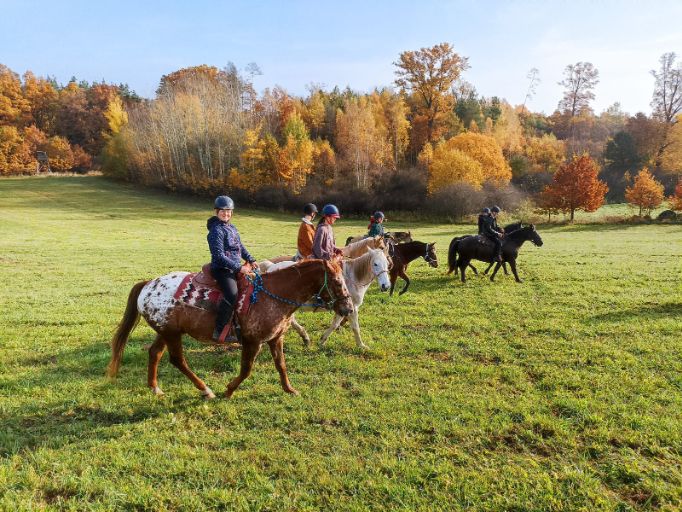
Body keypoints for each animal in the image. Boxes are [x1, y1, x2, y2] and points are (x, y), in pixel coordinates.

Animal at [107, 260, 350, 400]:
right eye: (338, 282)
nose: (347, 308)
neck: (272, 295)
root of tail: (147, 285)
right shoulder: (253, 341)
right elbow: (246, 369)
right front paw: (229, 390)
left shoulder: (275, 339)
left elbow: (281, 366)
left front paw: (290, 390)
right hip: (172, 334)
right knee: (178, 360)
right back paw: (206, 390)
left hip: (166, 332)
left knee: (154, 353)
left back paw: (155, 388)